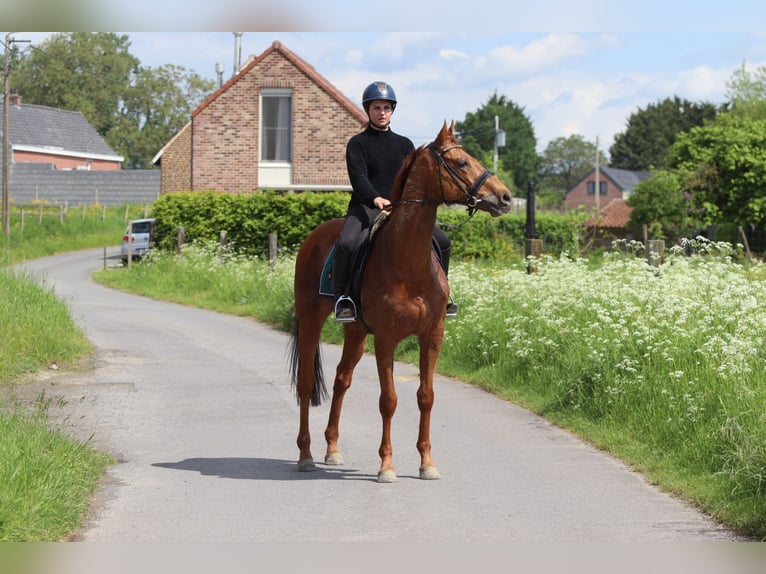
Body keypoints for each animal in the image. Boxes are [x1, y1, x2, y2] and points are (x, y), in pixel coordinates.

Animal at [288, 120, 513, 482]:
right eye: (462, 162)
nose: (505, 197)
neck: (408, 262)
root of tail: (313, 238)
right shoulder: (386, 340)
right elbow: (389, 400)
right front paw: (387, 466)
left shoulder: (433, 336)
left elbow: (426, 396)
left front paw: (427, 462)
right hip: (311, 320)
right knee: (307, 383)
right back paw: (306, 455)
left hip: (355, 332)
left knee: (341, 379)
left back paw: (332, 449)